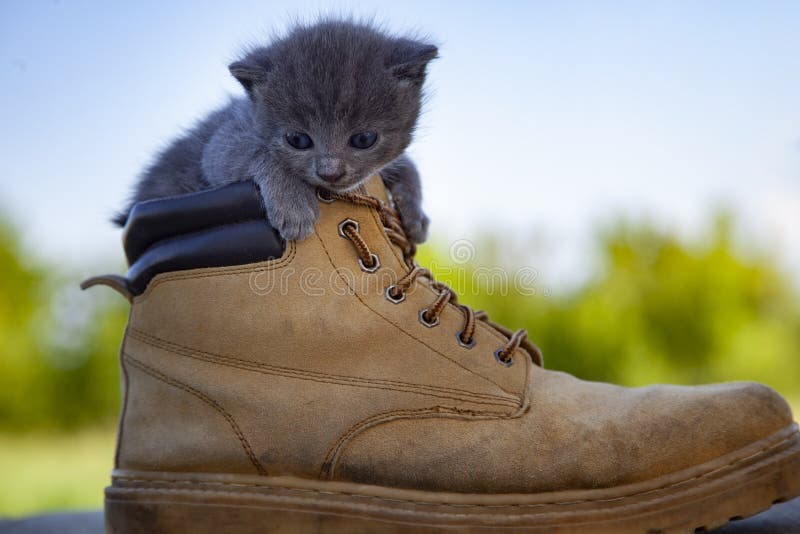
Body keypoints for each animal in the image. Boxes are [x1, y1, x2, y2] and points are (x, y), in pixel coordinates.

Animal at [115, 19, 434, 245]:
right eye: (298, 140)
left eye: (364, 139)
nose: (330, 172)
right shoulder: (223, 142)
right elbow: (260, 154)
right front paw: (293, 205)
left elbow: (407, 165)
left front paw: (415, 216)